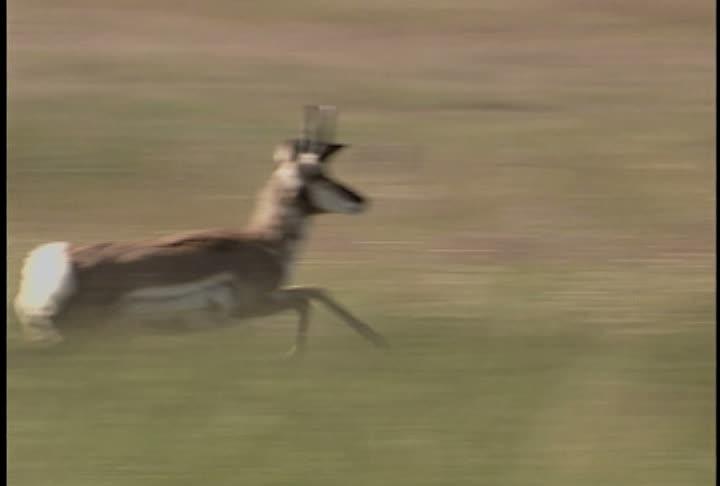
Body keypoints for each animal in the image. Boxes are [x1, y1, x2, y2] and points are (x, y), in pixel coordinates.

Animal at [12, 106, 388, 356]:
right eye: (318, 174)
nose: (361, 200)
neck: (263, 242)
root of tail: (61, 262)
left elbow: (314, 292)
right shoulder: (254, 304)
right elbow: (309, 297)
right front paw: (302, 355)